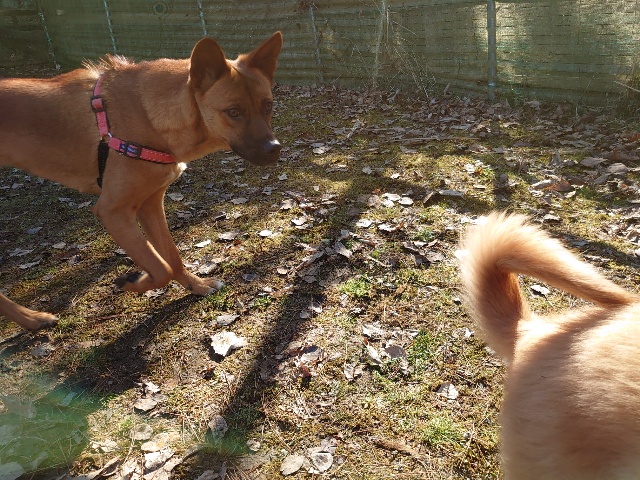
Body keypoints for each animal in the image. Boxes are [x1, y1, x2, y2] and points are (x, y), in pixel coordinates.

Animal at [0, 32, 283, 330]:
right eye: (233, 112)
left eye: (268, 105)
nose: (274, 149)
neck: (151, 117)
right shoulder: (113, 212)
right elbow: (162, 267)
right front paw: (133, 282)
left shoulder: (150, 204)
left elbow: (173, 258)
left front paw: (196, 286)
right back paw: (31, 318)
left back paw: (31, 320)